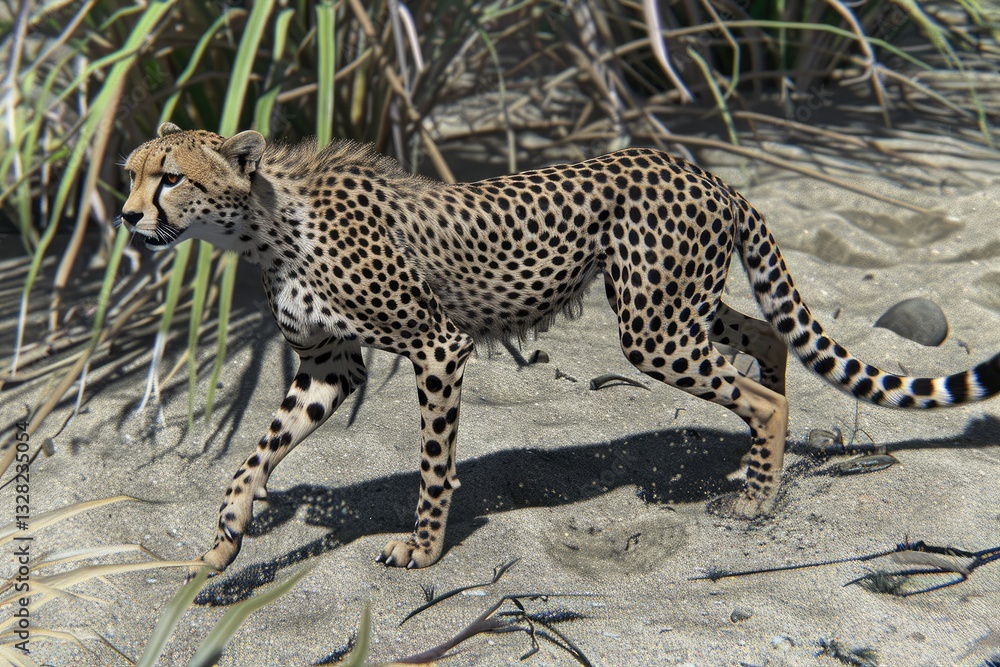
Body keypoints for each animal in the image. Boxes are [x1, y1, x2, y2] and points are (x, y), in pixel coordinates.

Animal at [119, 122, 1000, 572]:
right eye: (130, 172)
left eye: (168, 177)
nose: (127, 218)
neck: (266, 222)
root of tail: (702, 169)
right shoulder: (328, 365)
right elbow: (253, 455)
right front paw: (223, 542)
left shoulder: (438, 345)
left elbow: (433, 464)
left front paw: (424, 548)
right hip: (675, 307)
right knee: (766, 338)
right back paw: (757, 462)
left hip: (654, 326)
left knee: (760, 391)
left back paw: (757, 495)